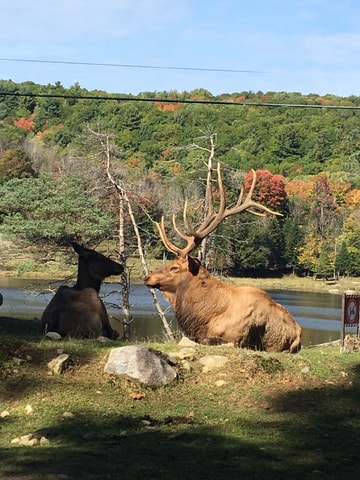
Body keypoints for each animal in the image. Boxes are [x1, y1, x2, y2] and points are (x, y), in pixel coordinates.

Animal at [143, 162, 300, 352]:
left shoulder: (234, 338)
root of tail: (299, 332)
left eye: (174, 267)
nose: (147, 277)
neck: (204, 316)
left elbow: (206, 340)